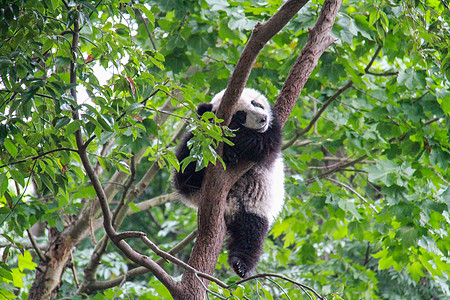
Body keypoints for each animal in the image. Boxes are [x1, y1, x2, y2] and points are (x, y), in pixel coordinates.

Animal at [173, 88, 284, 278]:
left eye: (256, 103)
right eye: (240, 116)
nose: (262, 118)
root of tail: (230, 207)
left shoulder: (273, 132)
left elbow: (263, 142)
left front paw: (234, 140)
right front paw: (227, 144)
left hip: (254, 208)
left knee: (250, 234)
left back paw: (241, 264)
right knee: (185, 169)